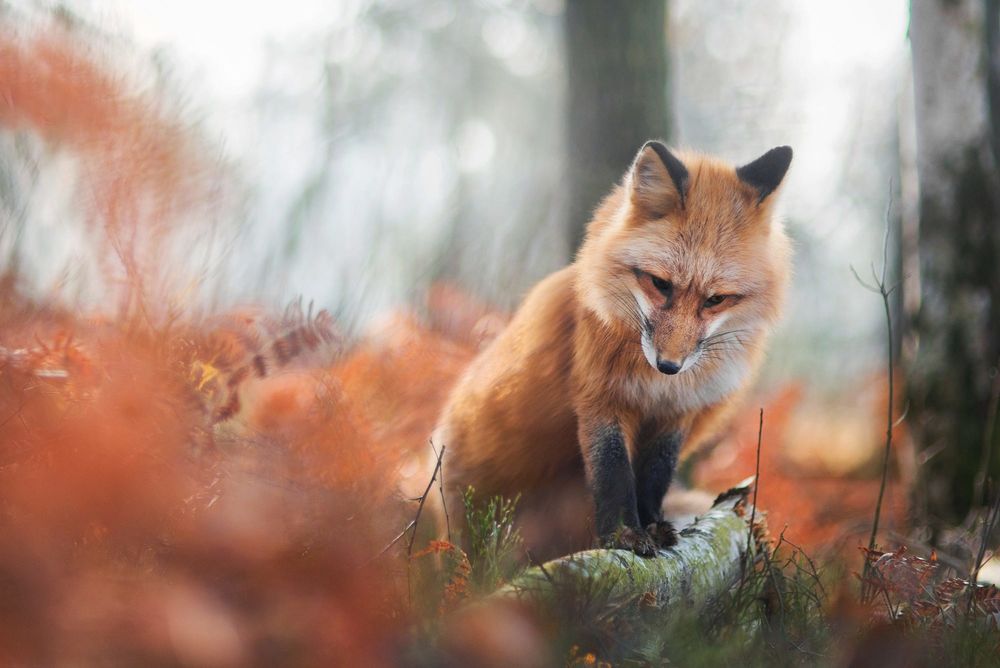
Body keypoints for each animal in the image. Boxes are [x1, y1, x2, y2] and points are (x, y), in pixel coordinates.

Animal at [434, 142, 792, 560]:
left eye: (716, 299)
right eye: (660, 284)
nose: (669, 365)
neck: (656, 385)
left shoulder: (678, 410)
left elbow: (655, 475)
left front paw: (651, 524)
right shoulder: (600, 396)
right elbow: (612, 472)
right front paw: (624, 535)